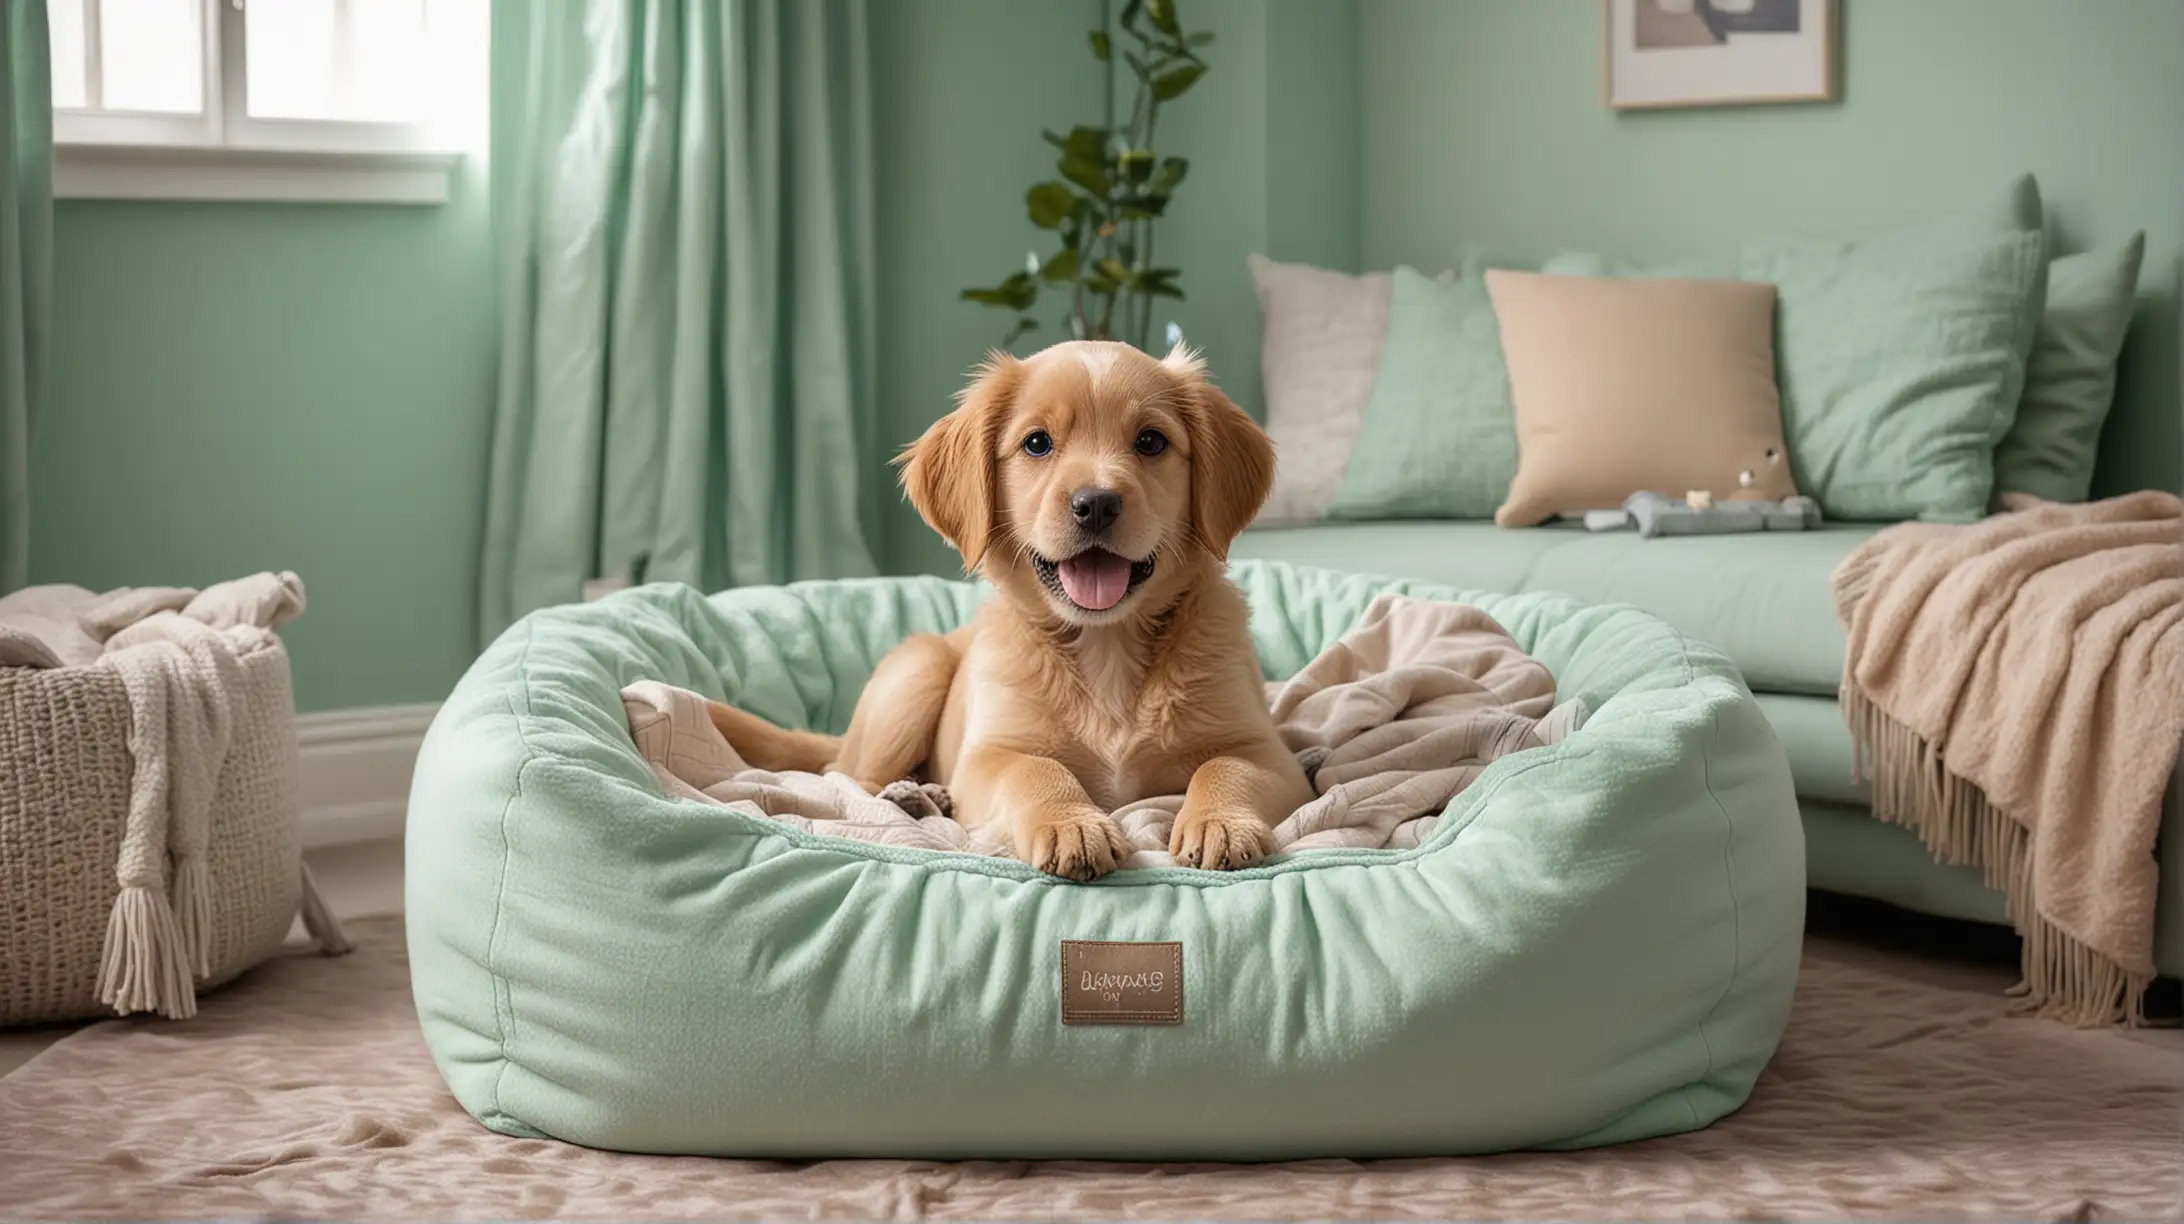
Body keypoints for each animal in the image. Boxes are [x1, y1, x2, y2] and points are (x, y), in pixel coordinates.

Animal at [707, 340, 1301, 878]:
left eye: (1151, 441)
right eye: (1037, 443)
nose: (1096, 504)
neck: (1106, 643)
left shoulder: (1270, 753)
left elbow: (1226, 766)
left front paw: (1221, 822)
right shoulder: (992, 754)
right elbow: (1034, 771)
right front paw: (1070, 825)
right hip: (918, 669)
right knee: (846, 776)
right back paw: (913, 797)